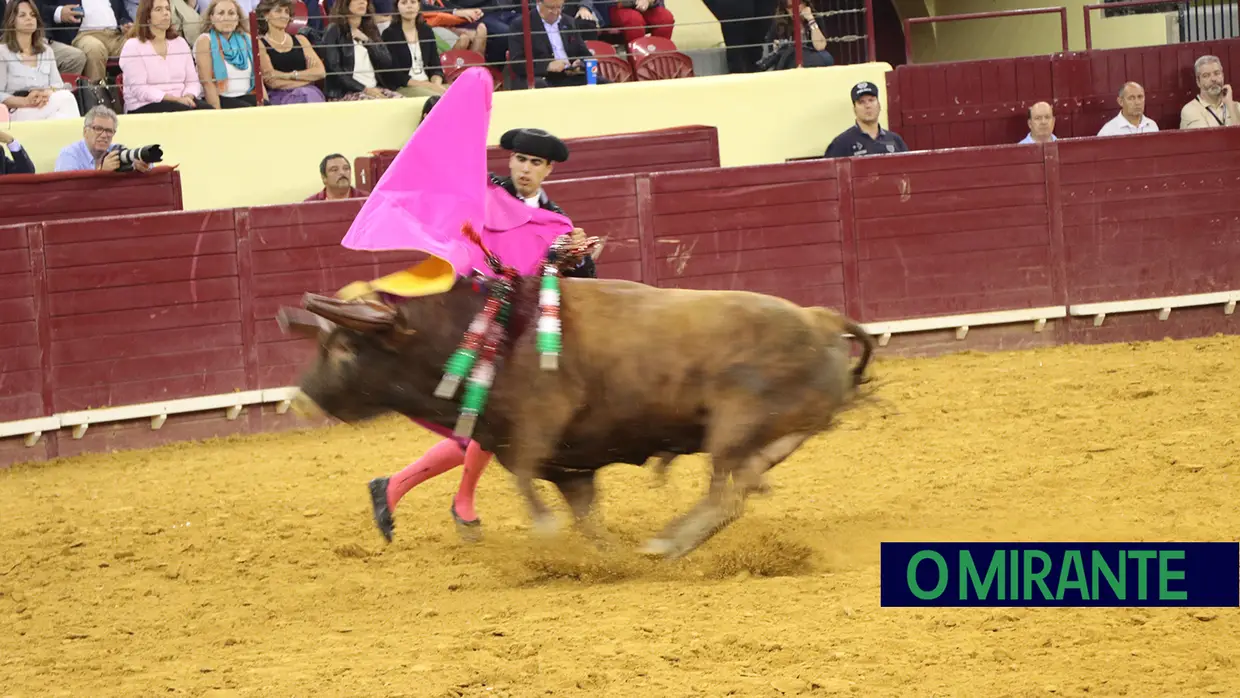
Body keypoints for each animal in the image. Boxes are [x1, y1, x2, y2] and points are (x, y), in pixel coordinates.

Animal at [285, 276, 877, 560]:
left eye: (345, 346)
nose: (302, 398)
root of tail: (821, 320)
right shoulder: (567, 465)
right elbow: (584, 514)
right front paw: (606, 556)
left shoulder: (537, 426)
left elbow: (527, 479)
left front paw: (549, 534)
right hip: (765, 437)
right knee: (736, 490)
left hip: (735, 424)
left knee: (726, 492)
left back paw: (667, 544)